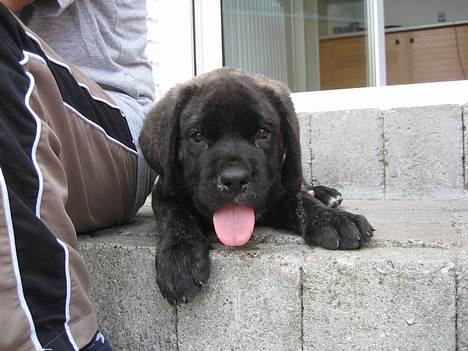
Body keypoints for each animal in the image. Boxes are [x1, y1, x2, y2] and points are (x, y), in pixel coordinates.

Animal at [138, 68, 372, 306]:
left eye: (263, 133)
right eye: (197, 136)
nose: (234, 179)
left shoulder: (280, 190)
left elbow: (302, 200)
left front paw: (333, 219)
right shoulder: (164, 193)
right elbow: (175, 216)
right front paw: (179, 254)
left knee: (304, 185)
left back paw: (327, 195)